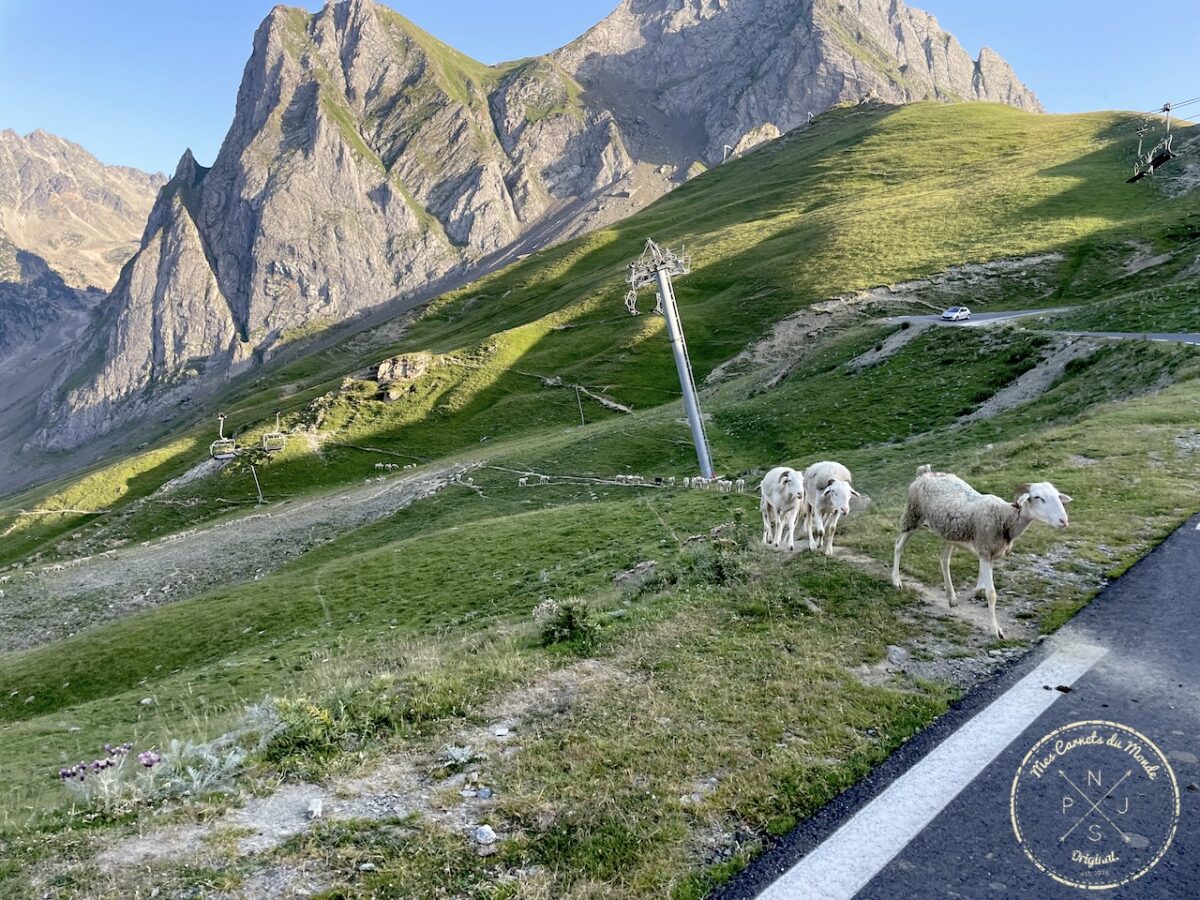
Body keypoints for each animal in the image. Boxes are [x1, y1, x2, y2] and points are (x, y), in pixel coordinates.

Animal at [888, 465, 1075, 643]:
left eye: (1057, 496)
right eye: (1038, 497)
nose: (1064, 521)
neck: (1004, 518)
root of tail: (925, 473)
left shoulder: (986, 554)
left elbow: (980, 586)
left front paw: (957, 601)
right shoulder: (985, 552)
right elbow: (990, 593)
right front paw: (995, 630)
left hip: (949, 534)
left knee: (944, 559)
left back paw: (951, 595)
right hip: (912, 516)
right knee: (898, 546)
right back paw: (896, 580)